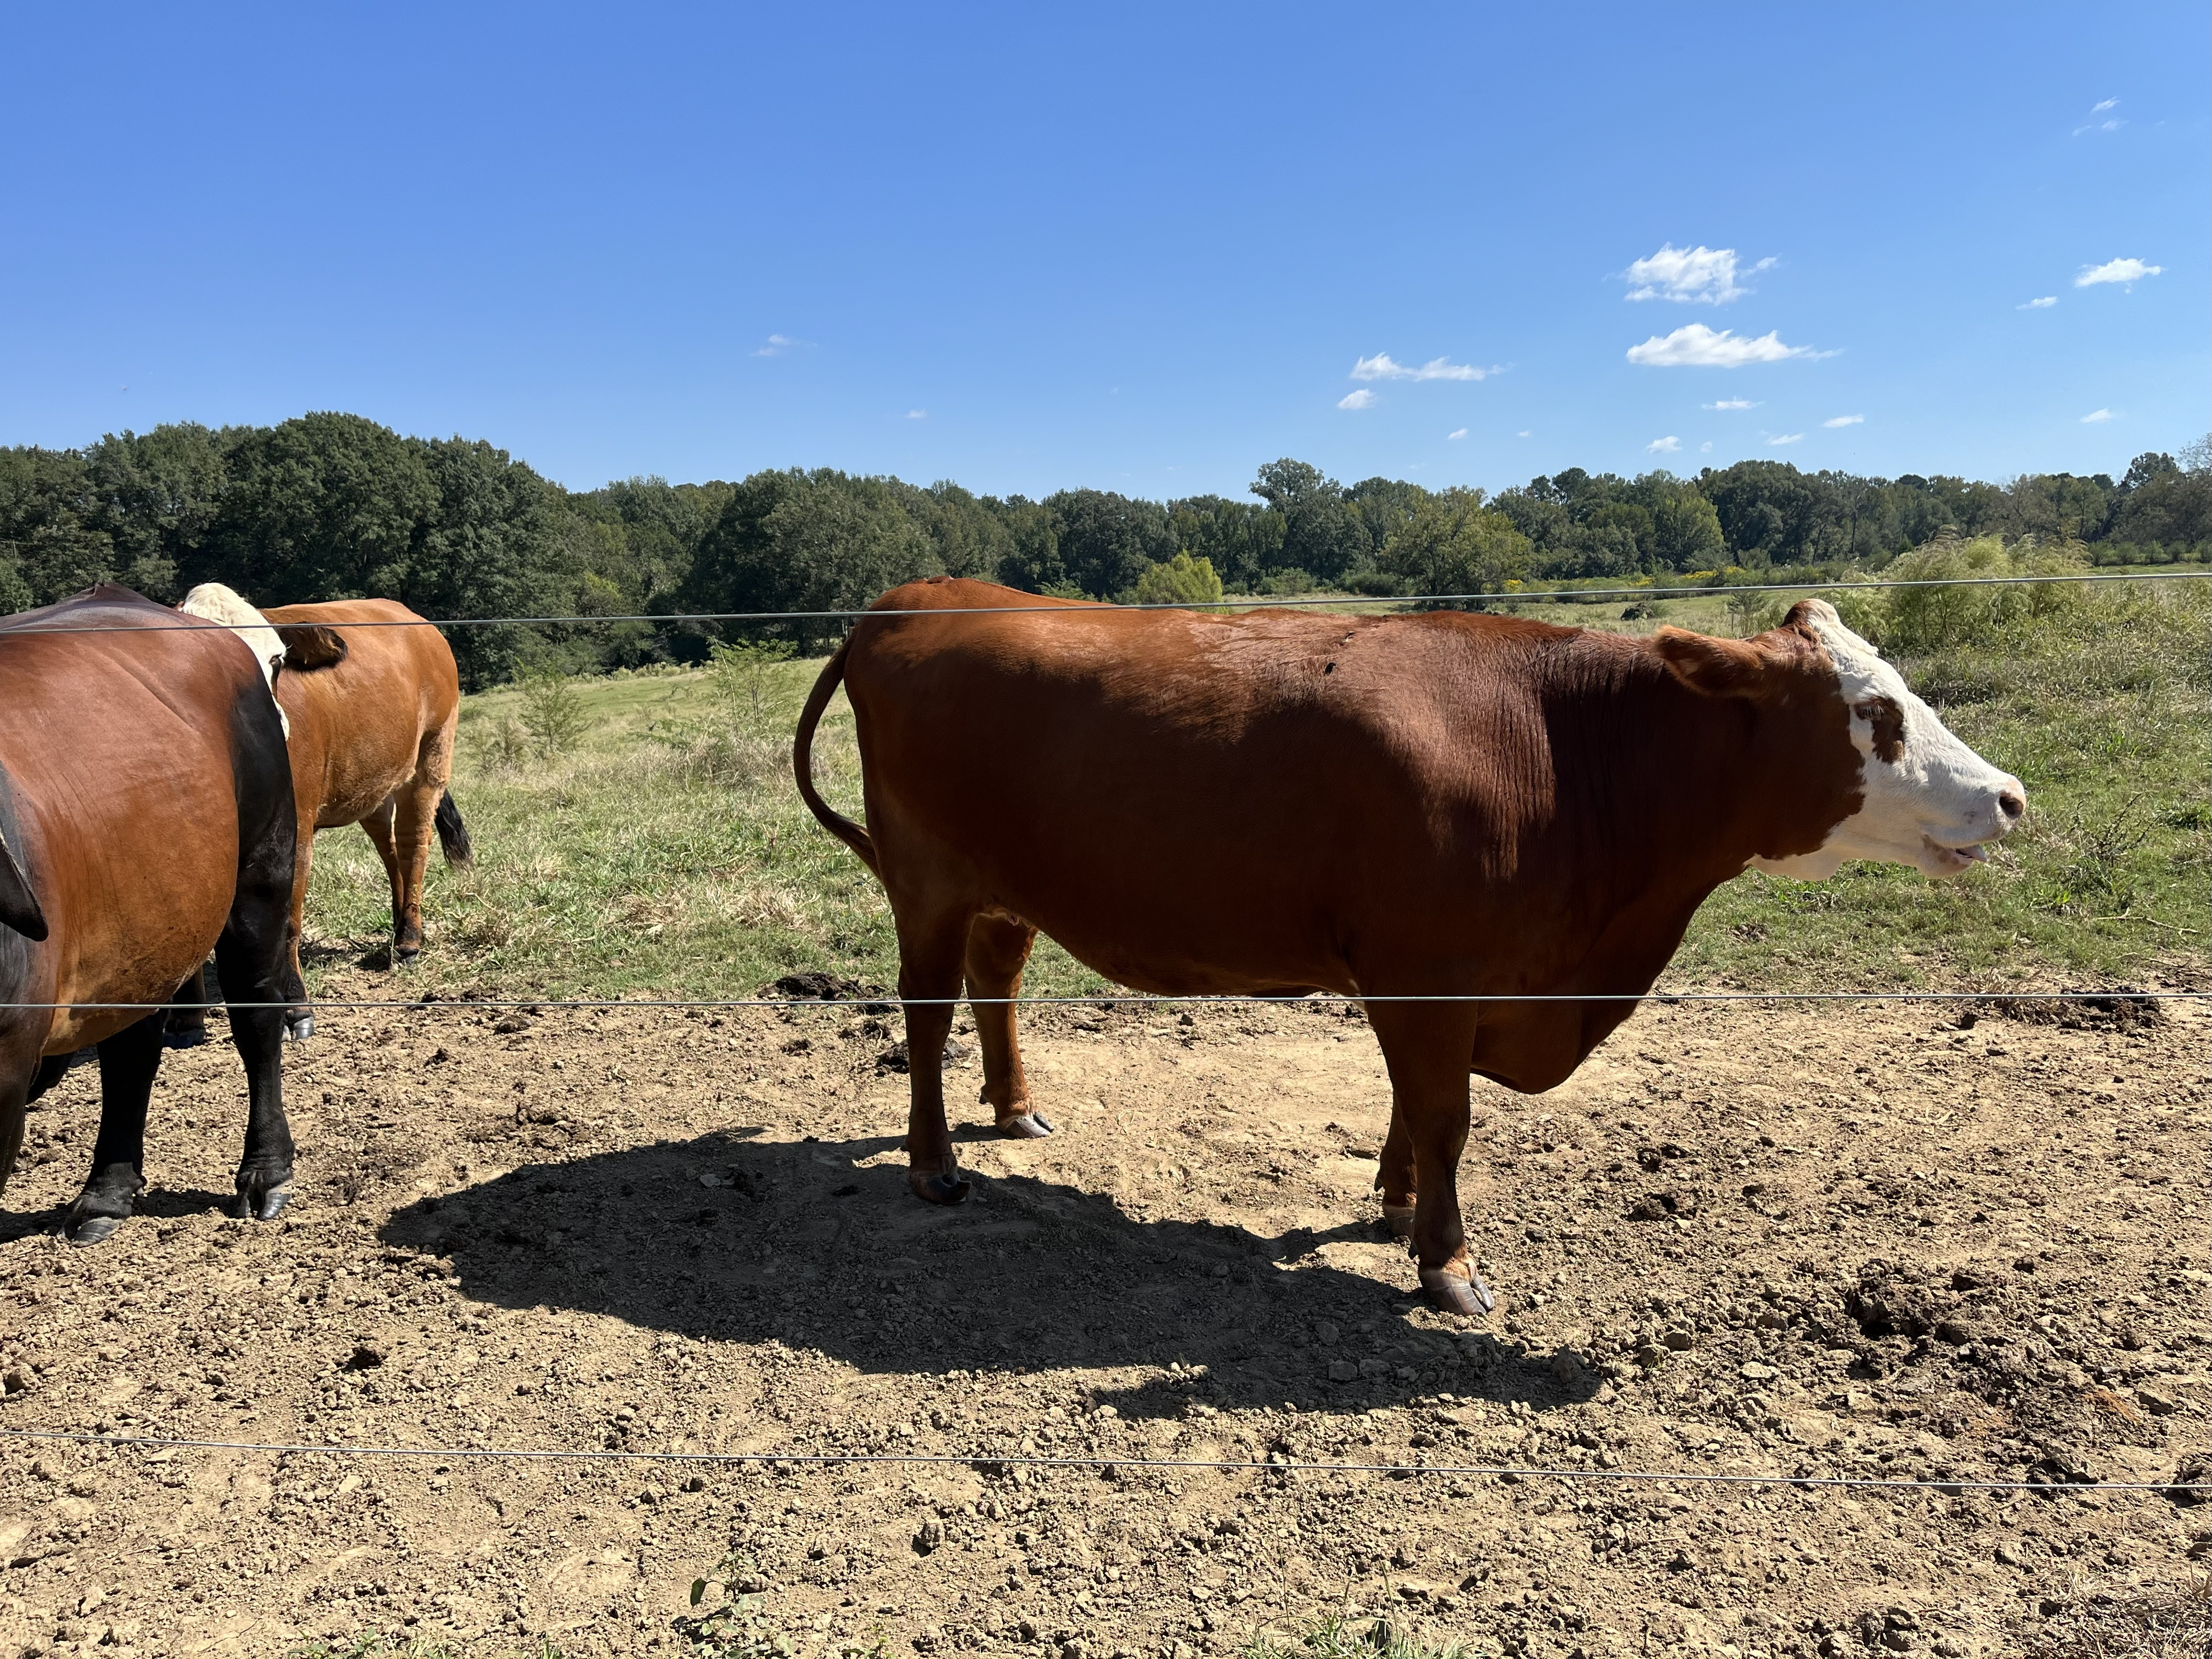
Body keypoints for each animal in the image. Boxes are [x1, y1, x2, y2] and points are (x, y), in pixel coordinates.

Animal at [0, 584, 298, 1245]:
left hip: (260, 876)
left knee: (257, 1020)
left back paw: (266, 1170)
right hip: (145, 929)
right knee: (131, 1048)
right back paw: (108, 1190)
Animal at [168, 591, 470, 1042]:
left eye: (275, 661)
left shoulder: (295, 831)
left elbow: (287, 925)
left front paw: (294, 1009)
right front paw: (186, 1018)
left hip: (431, 756)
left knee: (414, 845)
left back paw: (410, 940)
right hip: (372, 781)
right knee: (390, 851)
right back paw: (399, 923)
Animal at [792, 577, 2025, 1315]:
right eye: (1874, 715)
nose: (2009, 796)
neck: (1561, 749)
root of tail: (915, 596)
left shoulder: (1431, 976)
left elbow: (1406, 1103)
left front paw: (1389, 1204)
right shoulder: (1429, 971)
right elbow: (1444, 1115)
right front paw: (1448, 1261)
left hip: (1008, 887)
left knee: (994, 984)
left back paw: (1014, 1110)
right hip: (926, 879)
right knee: (928, 1012)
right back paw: (936, 1163)